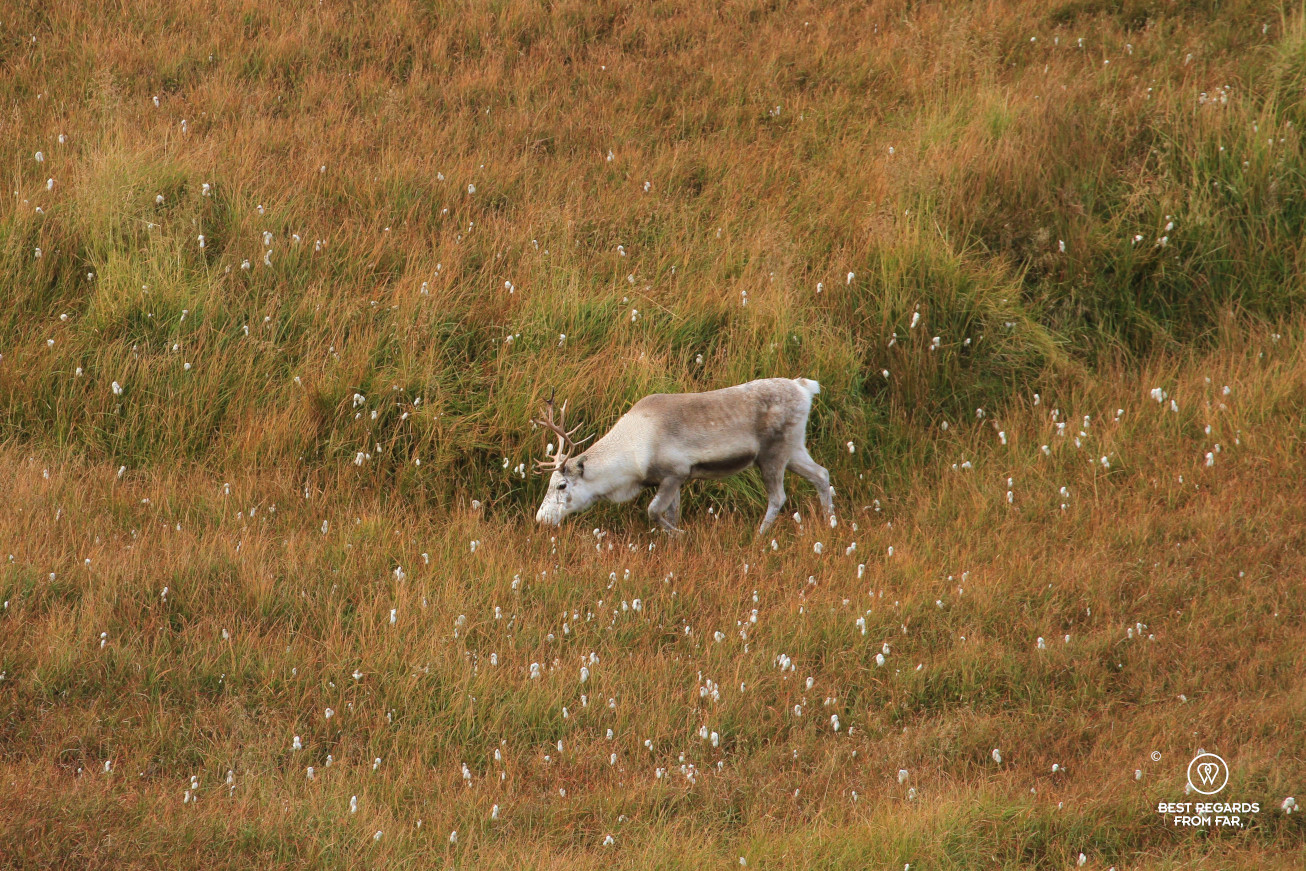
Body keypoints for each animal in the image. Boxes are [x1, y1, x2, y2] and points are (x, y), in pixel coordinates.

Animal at [533, 378, 835, 535]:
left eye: (562, 485)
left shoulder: (674, 473)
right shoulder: (673, 480)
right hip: (794, 449)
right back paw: (829, 521)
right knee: (821, 474)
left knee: (778, 497)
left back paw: (759, 537)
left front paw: (680, 535)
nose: (541, 518)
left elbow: (653, 511)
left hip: (773, 454)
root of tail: (805, 387)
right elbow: (671, 512)